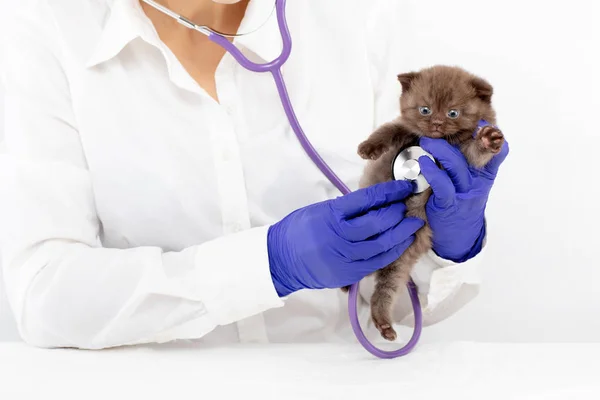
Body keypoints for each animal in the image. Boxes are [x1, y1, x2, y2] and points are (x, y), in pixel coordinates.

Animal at [350, 65, 504, 340]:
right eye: (425, 110)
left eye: (453, 113)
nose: (436, 123)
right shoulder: (406, 129)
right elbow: (389, 129)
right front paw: (368, 147)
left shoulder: (467, 156)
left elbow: (477, 151)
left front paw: (488, 140)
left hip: (399, 257)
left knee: (386, 288)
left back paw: (384, 324)